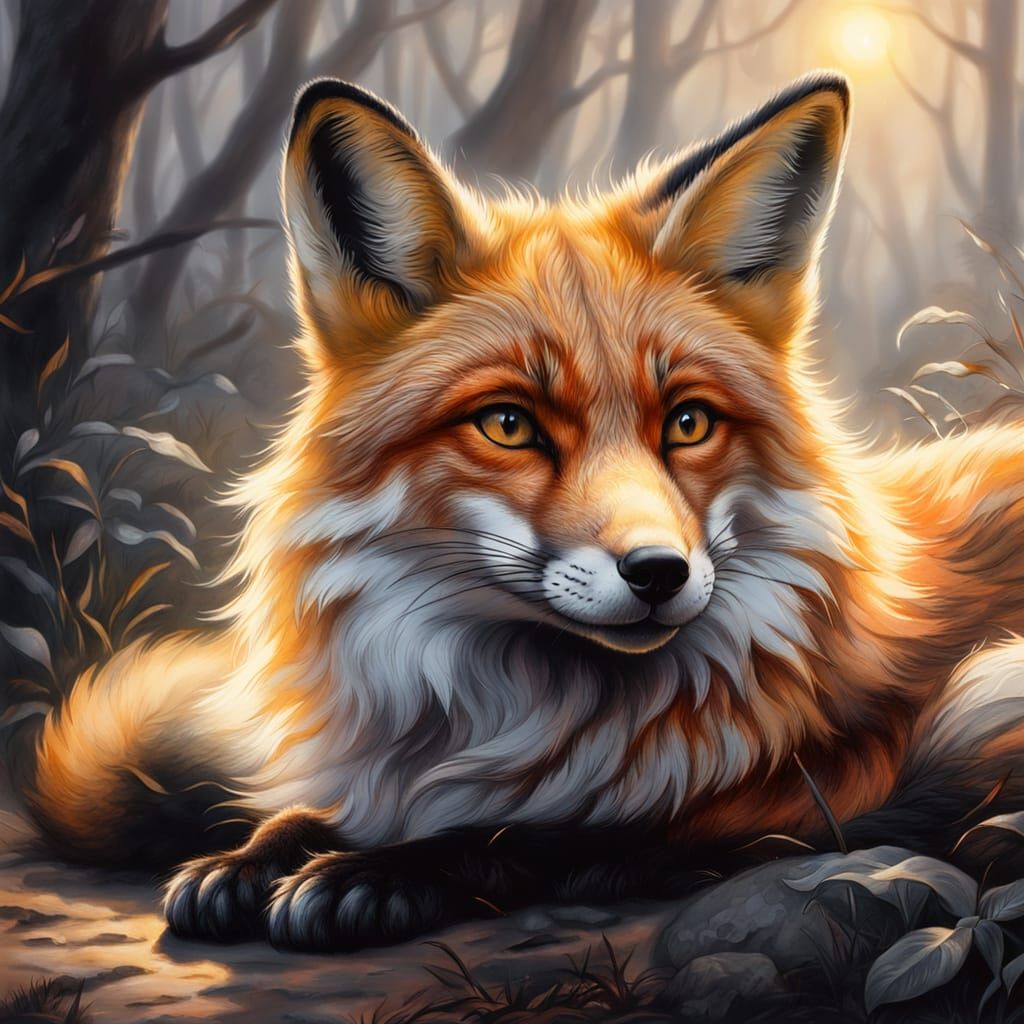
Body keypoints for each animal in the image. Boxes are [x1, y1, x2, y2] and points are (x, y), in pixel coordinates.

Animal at [23, 70, 1024, 953]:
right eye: (509, 424)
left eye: (689, 422)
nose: (659, 573)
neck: (528, 712)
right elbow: (319, 814)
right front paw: (257, 854)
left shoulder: (826, 795)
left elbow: (544, 833)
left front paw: (372, 871)